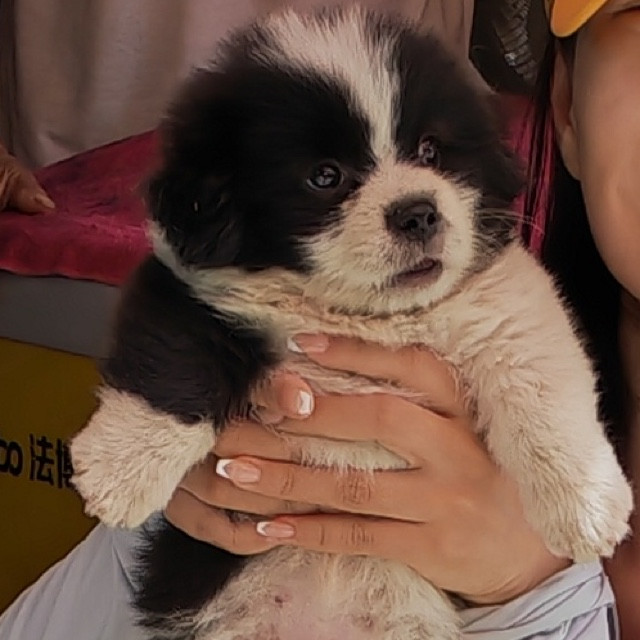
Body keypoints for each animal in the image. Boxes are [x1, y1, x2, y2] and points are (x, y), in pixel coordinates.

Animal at [70, 6, 632, 639]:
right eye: (325, 176)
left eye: (431, 150)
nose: (418, 212)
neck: (362, 316)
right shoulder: (190, 287)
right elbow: (177, 360)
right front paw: (119, 472)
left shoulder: (504, 305)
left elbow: (541, 382)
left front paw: (588, 505)